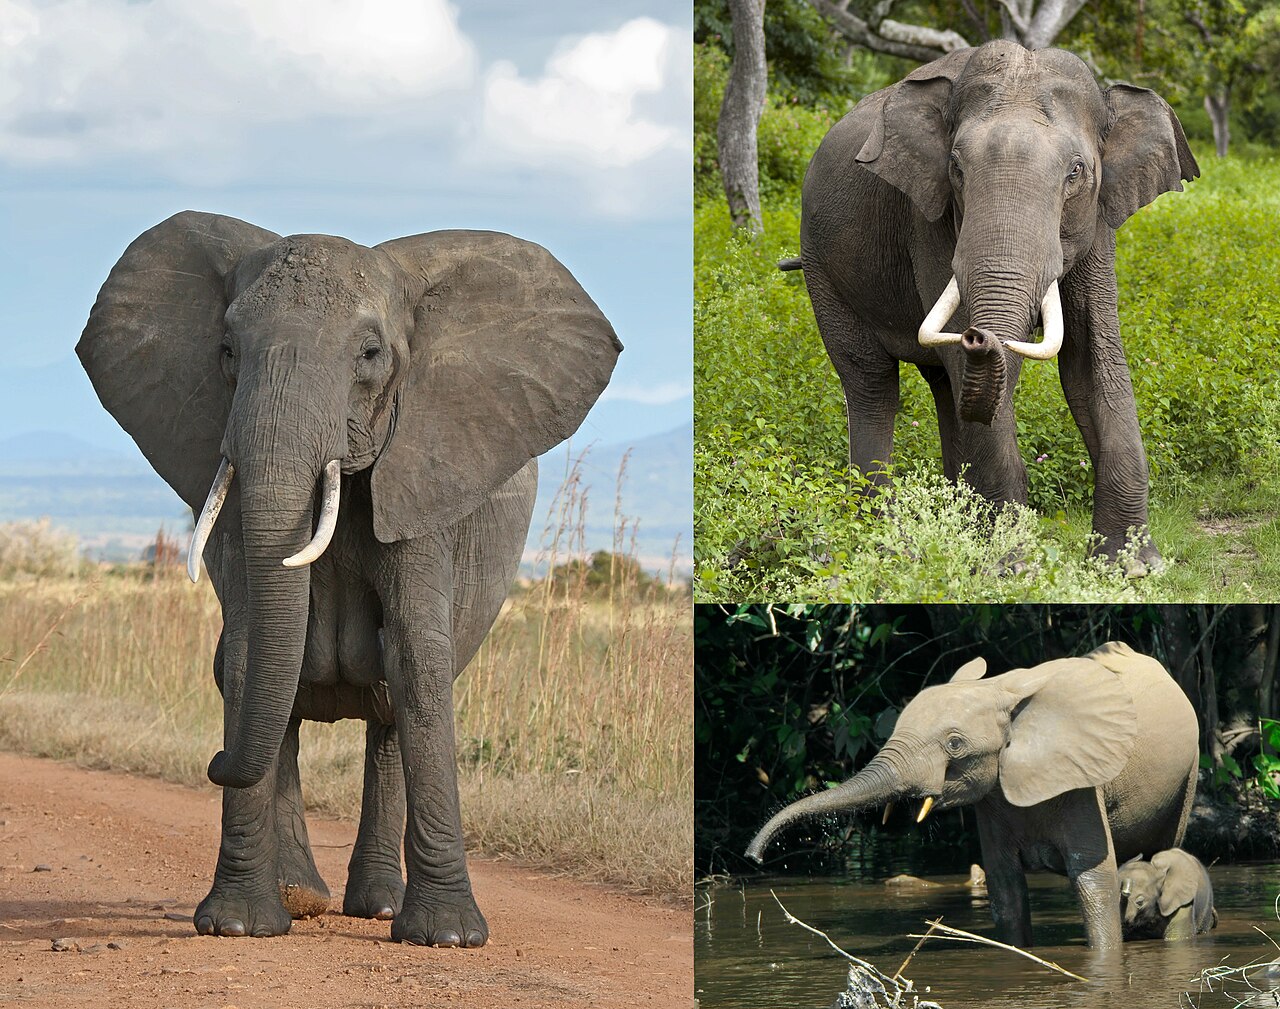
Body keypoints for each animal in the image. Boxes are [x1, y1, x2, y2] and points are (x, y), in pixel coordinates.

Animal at [76, 211, 621, 946]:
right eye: (227, 350)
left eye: (369, 354)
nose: (213, 763)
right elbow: (247, 654)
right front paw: (238, 925)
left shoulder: (424, 470)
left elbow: (418, 655)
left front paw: (448, 937)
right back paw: (301, 896)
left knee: (391, 704)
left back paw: (379, 908)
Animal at [745, 641, 1199, 949]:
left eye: (955, 744)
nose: (754, 858)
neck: (1000, 690)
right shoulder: (993, 797)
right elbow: (1005, 887)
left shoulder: (1082, 781)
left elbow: (1093, 880)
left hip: (1189, 772)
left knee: (1163, 849)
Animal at [786, 39, 1198, 575]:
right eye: (957, 169)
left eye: (1076, 172)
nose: (980, 335)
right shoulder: (929, 218)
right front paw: (1012, 568)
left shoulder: (1098, 221)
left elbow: (1091, 360)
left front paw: (1131, 567)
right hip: (821, 267)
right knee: (872, 382)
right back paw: (884, 543)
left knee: (944, 387)